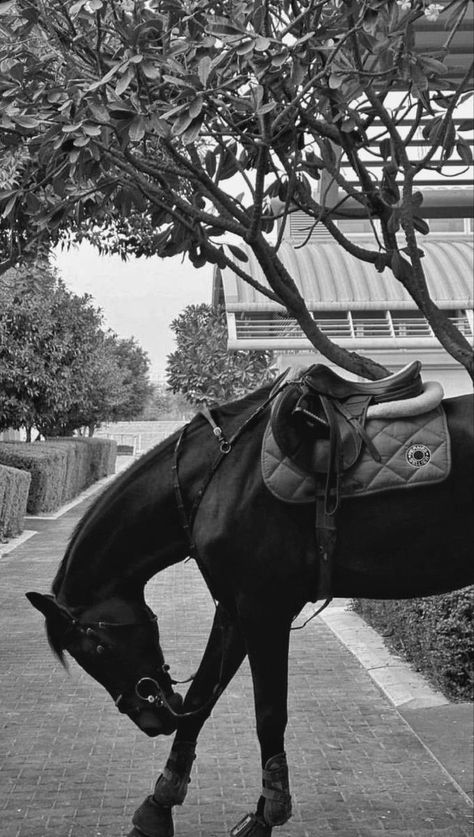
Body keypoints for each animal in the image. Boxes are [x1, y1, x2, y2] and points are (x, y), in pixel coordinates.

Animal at [28, 374, 474, 836]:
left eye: (97, 648)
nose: (151, 722)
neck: (215, 480)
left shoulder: (264, 609)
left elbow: (269, 715)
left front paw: (267, 814)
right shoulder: (233, 609)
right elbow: (200, 701)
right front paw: (158, 806)